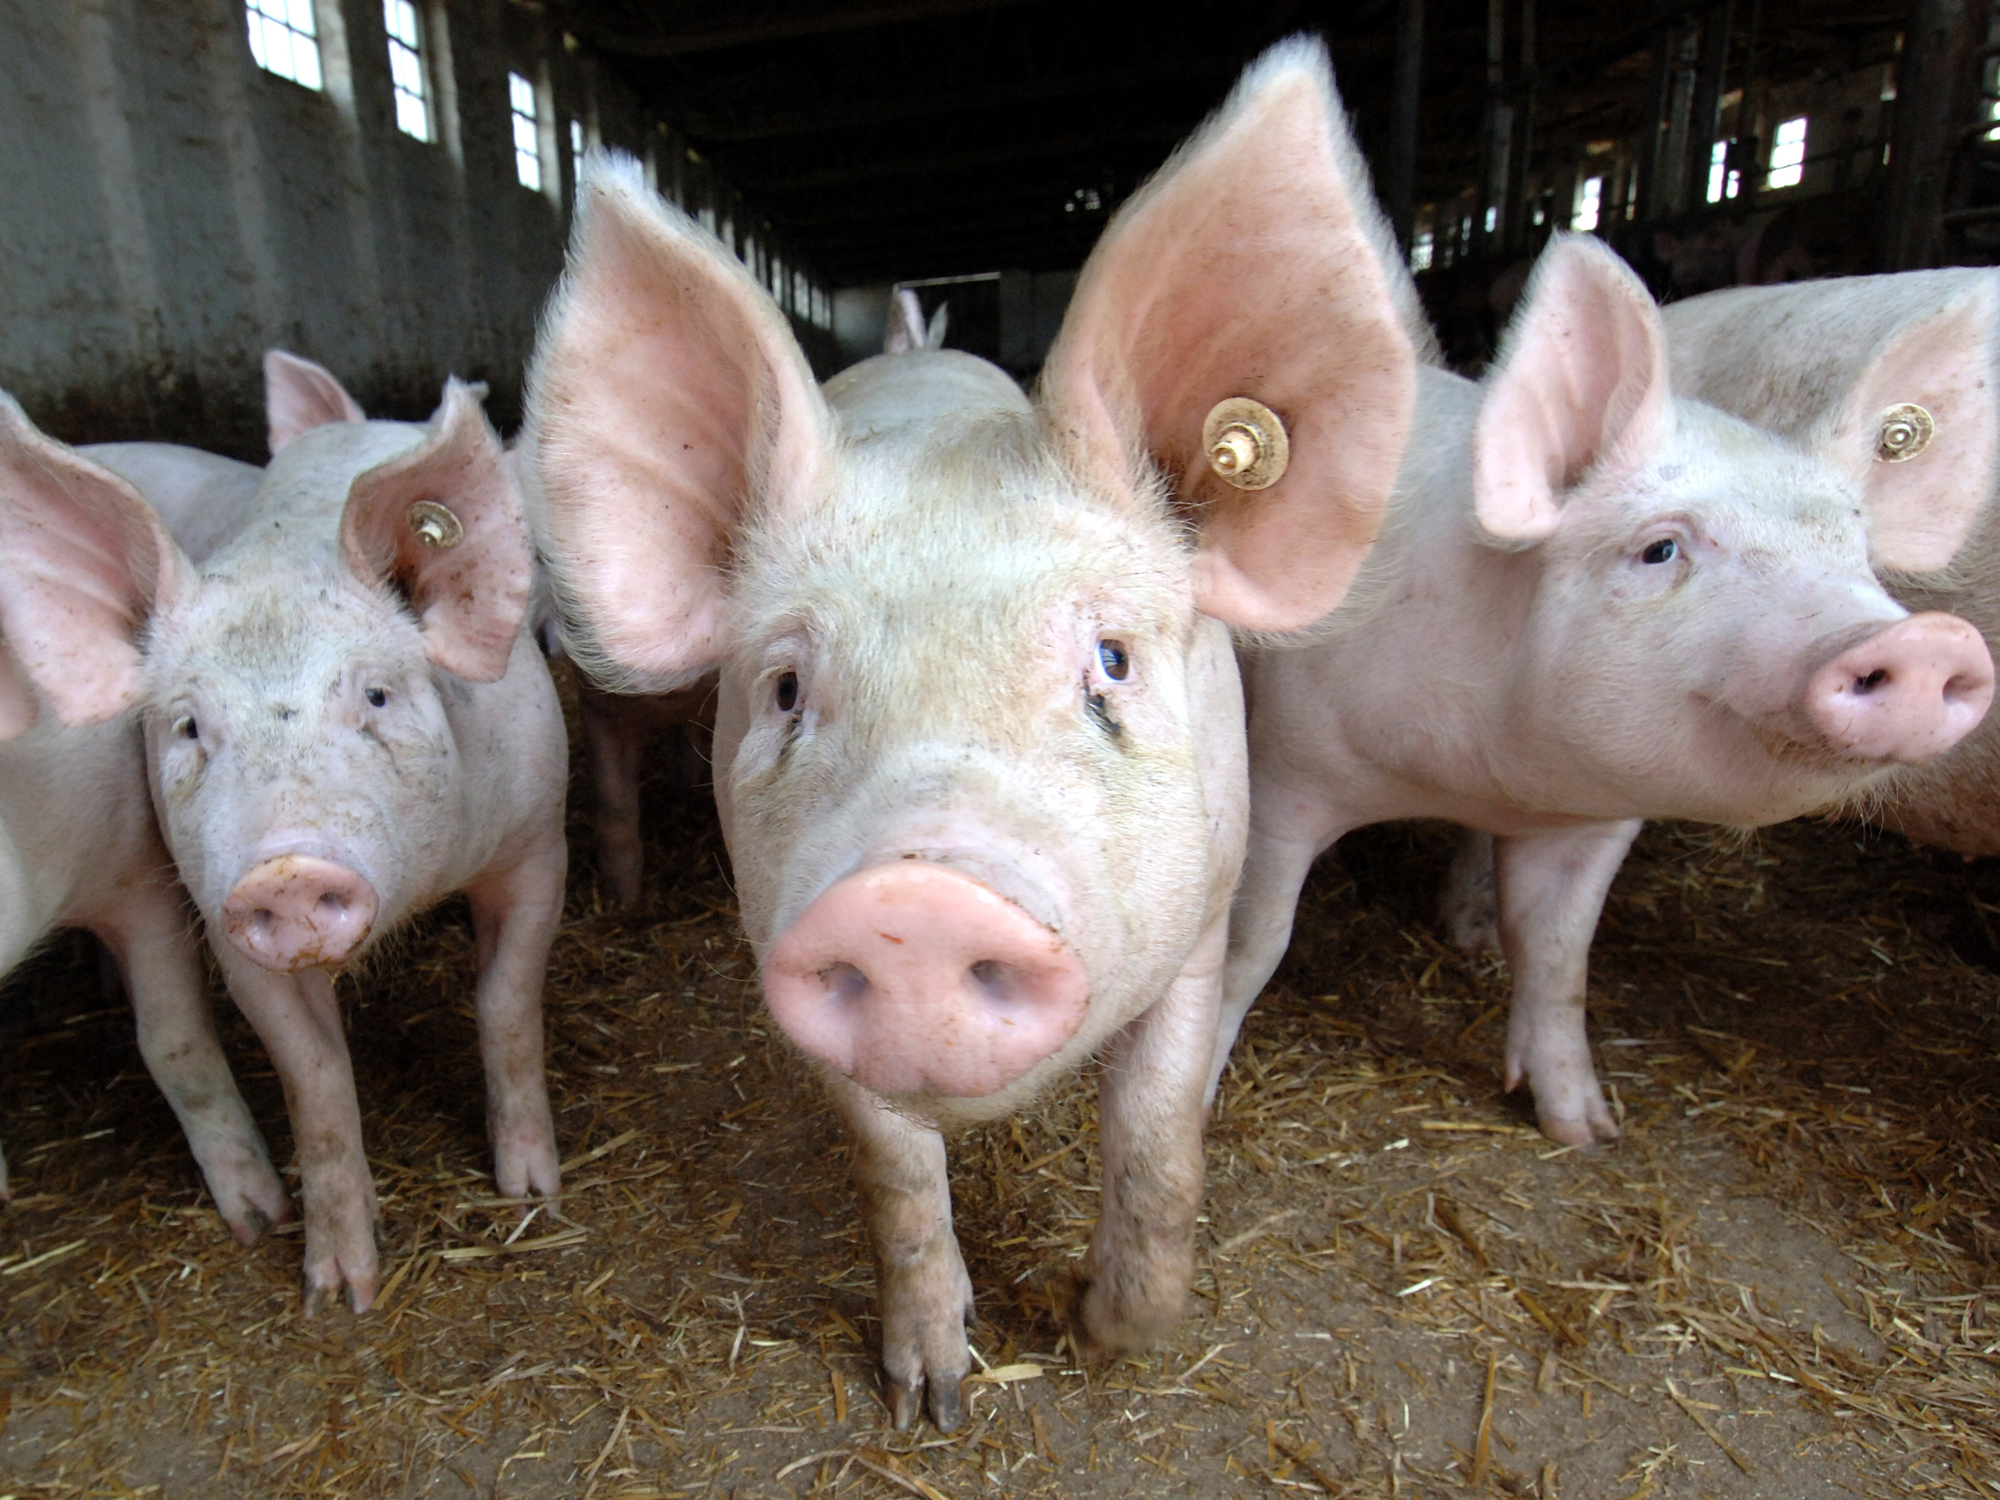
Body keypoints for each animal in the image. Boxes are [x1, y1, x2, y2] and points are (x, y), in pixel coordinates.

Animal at [527, 39, 1421, 1429]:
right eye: (785, 689)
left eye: (1110, 661)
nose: (914, 900)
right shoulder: (780, 928)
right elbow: (893, 1176)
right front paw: (932, 1399)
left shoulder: (1201, 919)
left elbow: (1158, 1146)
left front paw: (1099, 1333)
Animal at [1214, 234, 1997, 1150]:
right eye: (1660, 549)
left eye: (1860, 557)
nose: (1927, 640)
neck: (1484, 776)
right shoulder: (1288, 773)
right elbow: (1253, 947)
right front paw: (1203, 1105)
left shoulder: (1600, 820)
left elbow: (1560, 957)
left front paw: (1588, 1131)